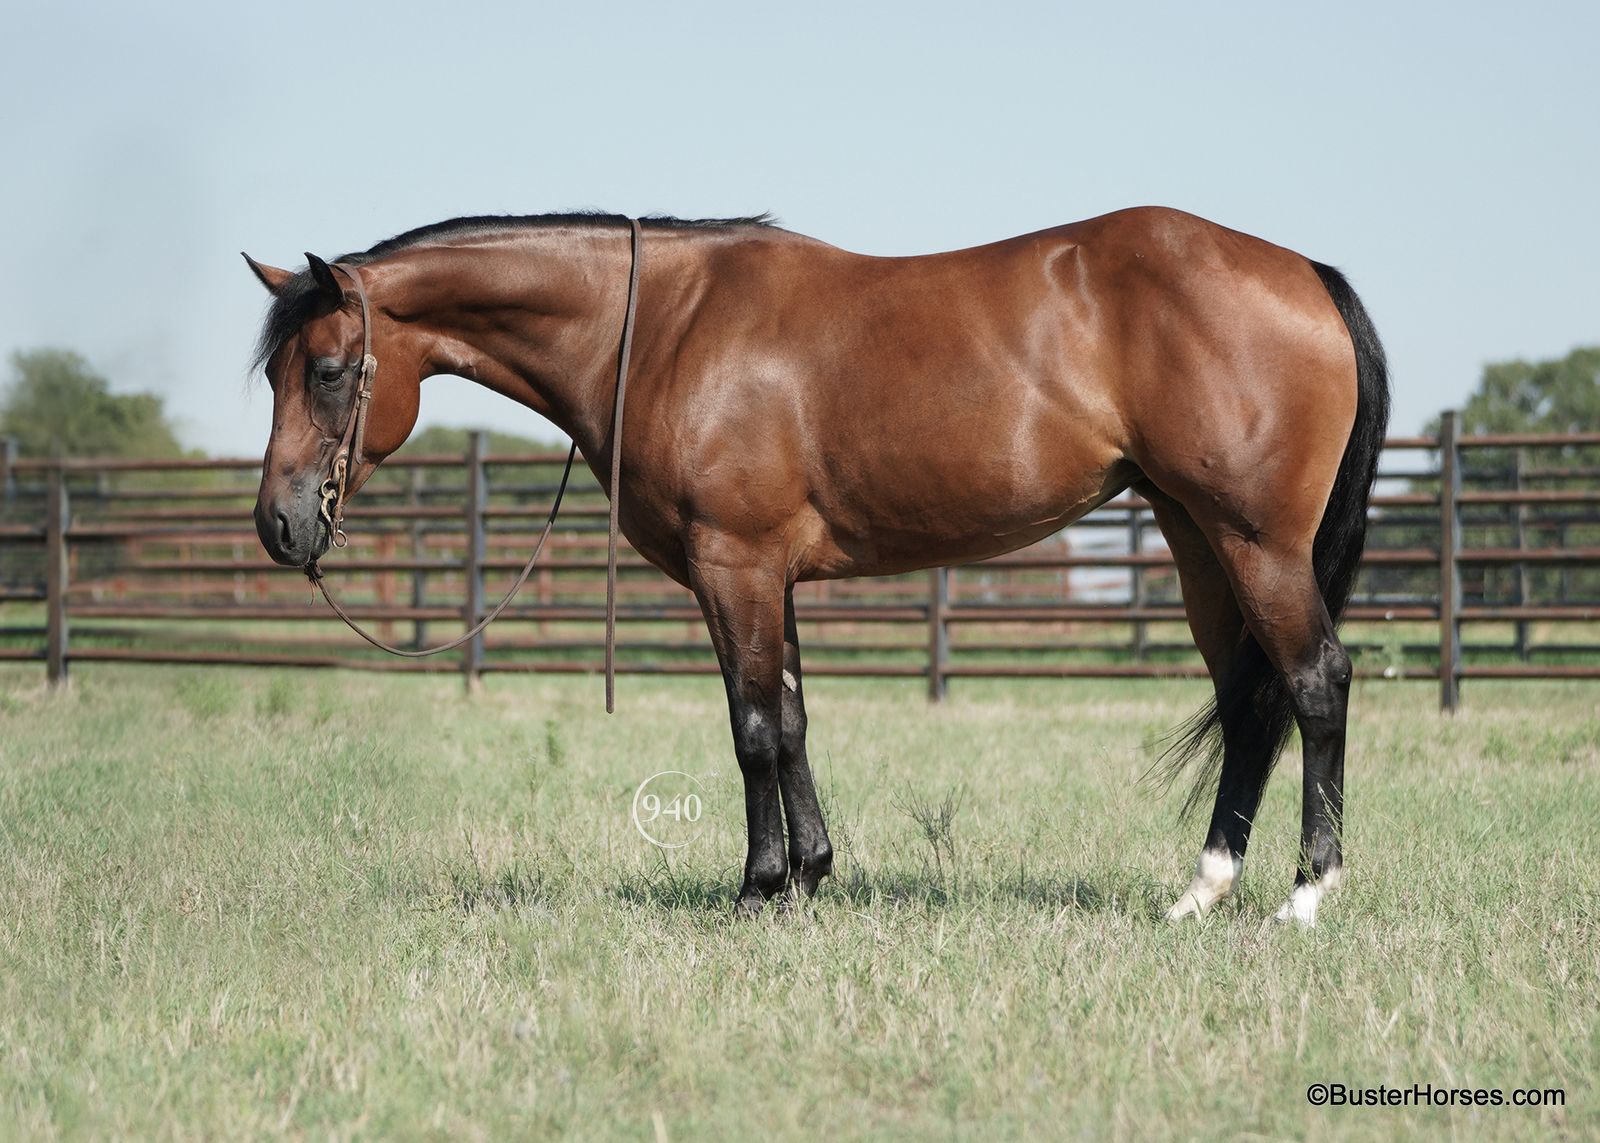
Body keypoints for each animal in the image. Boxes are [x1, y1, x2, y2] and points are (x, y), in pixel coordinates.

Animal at [243, 206, 1389, 926]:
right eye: (274, 374)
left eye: (330, 370)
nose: (280, 526)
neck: (664, 328)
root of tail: (1305, 275)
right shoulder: (770, 579)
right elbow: (790, 721)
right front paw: (809, 879)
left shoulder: (734, 565)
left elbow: (751, 728)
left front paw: (756, 891)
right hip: (1198, 542)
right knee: (1249, 704)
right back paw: (1202, 890)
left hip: (1253, 543)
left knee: (1314, 683)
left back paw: (1306, 894)